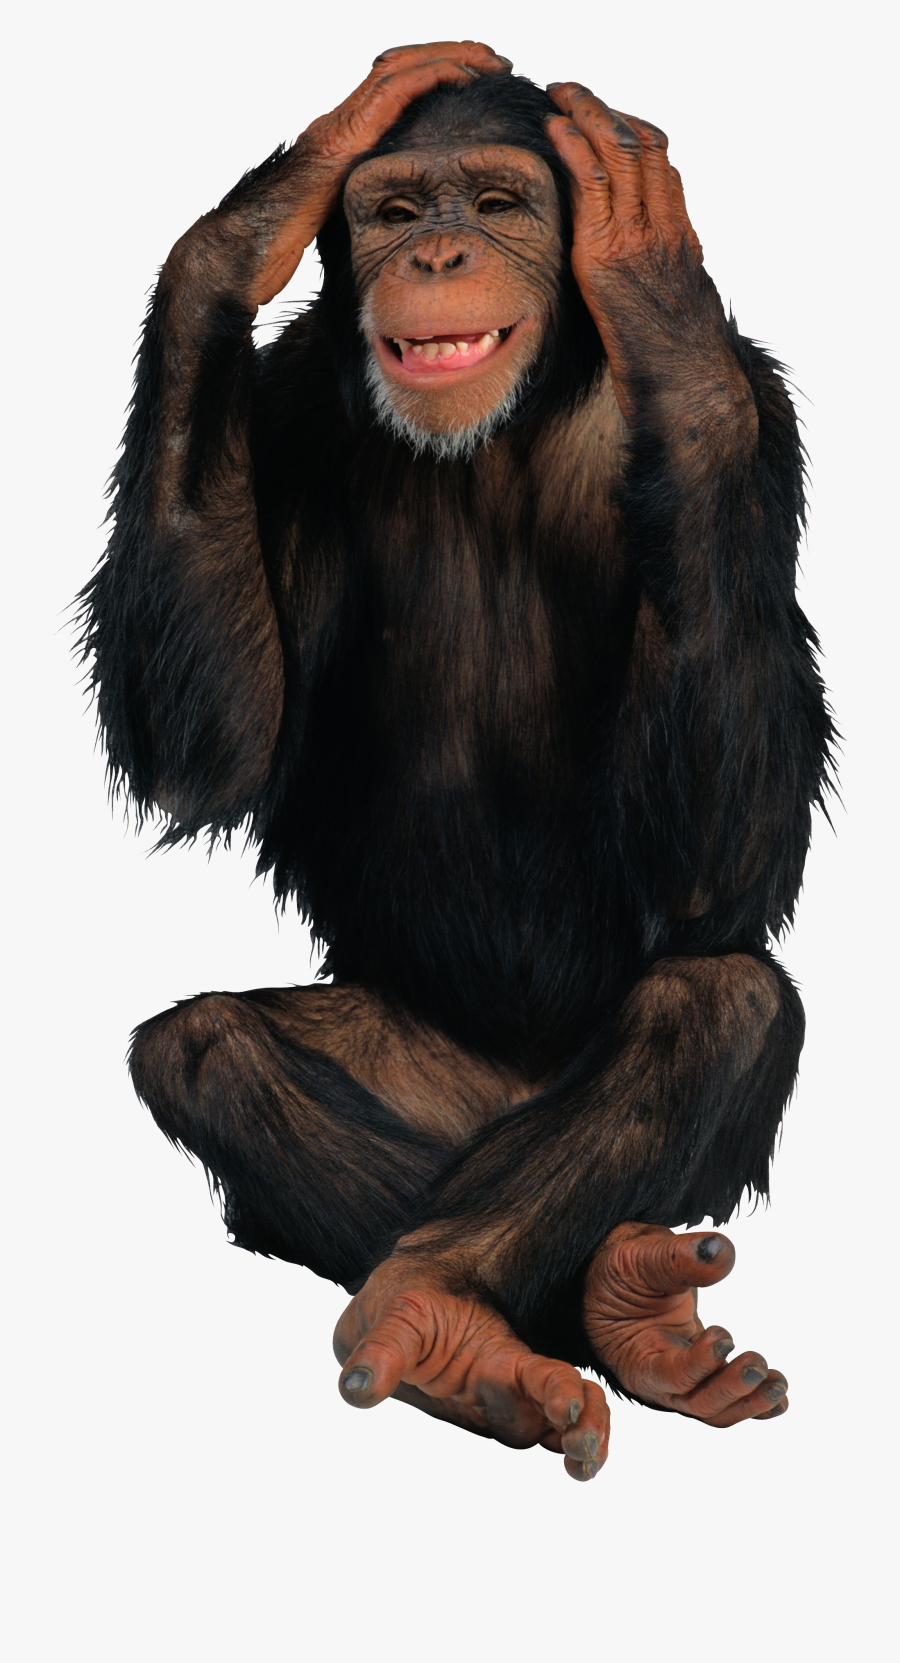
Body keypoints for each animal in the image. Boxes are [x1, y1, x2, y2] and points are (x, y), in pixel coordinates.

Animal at [79, 42, 833, 1481]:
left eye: (493, 202)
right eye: (389, 208)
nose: (433, 252)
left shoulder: (765, 438)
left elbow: (722, 872)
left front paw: (655, 289)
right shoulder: (284, 411)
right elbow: (216, 749)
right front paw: (253, 218)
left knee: (716, 1002)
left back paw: (518, 1300)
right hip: (433, 1094)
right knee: (207, 1050)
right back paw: (490, 1321)